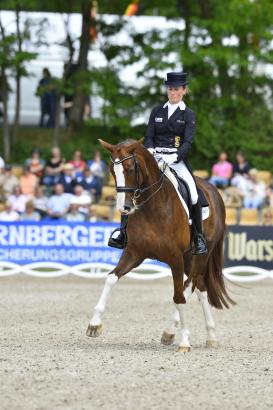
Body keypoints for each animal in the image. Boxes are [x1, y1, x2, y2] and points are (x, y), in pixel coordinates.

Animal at [86, 139, 233, 350]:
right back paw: (210, 336)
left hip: (200, 255)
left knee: (189, 287)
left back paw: (172, 332)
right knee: (200, 286)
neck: (152, 207)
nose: (124, 208)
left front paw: (184, 341)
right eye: (112, 171)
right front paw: (94, 325)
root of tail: (214, 191)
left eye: (130, 169)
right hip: (189, 259)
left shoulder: (175, 258)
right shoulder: (134, 253)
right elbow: (111, 278)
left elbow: (178, 296)